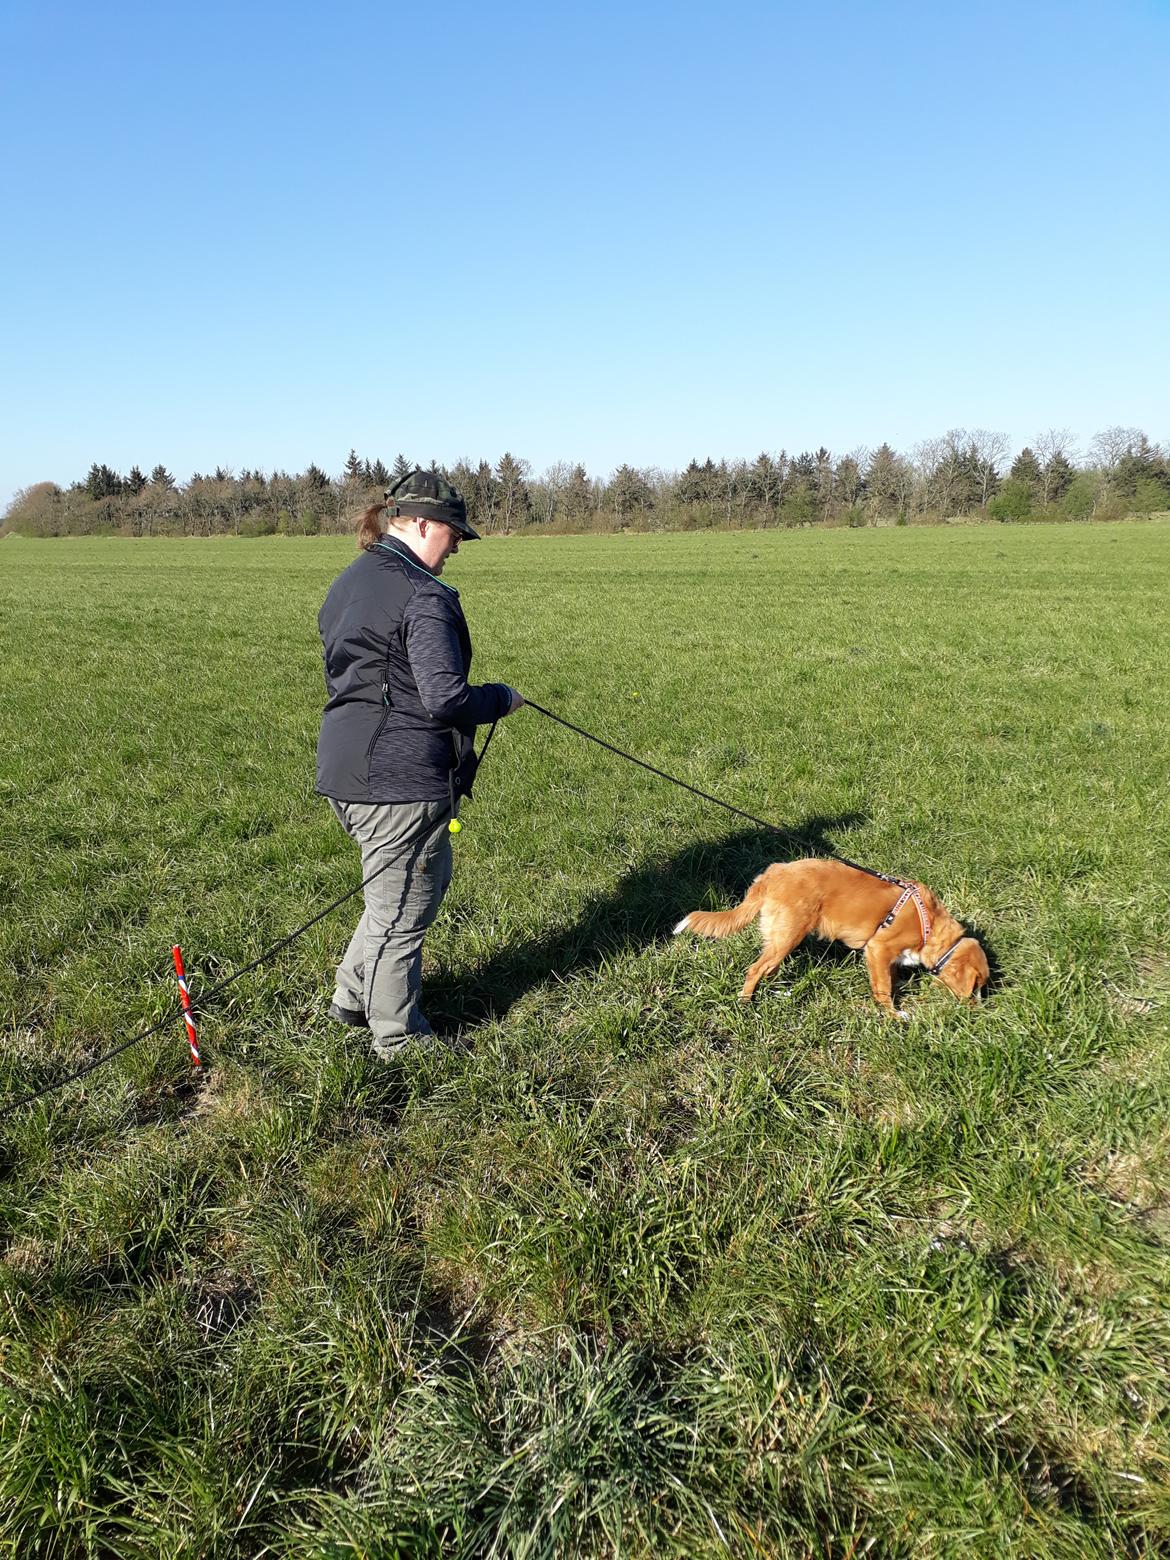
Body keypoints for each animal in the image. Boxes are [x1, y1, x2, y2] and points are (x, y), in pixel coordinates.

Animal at [677, 861, 992, 1017]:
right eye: (976, 986)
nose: (978, 1013)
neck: (929, 925)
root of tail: (773, 873)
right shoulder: (878, 948)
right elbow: (882, 988)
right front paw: (893, 1015)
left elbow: (891, 976)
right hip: (790, 932)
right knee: (755, 969)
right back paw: (745, 1002)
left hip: (782, 937)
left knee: (769, 966)